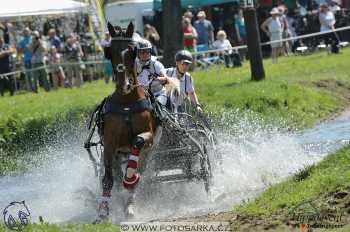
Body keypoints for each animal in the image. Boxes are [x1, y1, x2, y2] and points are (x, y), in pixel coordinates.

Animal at [97, 22, 160, 221]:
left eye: (132, 51)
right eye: (109, 51)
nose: (124, 84)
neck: (126, 102)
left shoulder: (148, 137)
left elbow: (138, 141)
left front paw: (130, 177)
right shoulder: (109, 143)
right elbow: (108, 179)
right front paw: (103, 210)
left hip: (147, 153)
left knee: (139, 169)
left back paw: (130, 204)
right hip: (117, 154)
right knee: (115, 175)